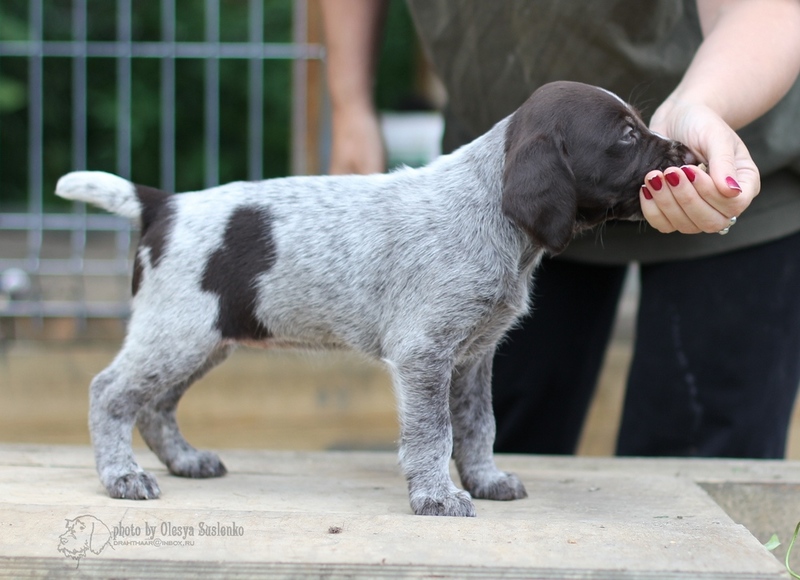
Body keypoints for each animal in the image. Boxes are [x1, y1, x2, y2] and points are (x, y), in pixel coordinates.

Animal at [56, 80, 692, 516]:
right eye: (626, 136)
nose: (687, 152)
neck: (489, 211)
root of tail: (165, 204)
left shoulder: (471, 358)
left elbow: (477, 426)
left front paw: (485, 480)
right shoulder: (424, 355)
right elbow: (433, 434)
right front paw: (437, 497)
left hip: (205, 340)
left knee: (155, 406)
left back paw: (184, 460)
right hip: (177, 334)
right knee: (109, 394)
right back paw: (121, 476)